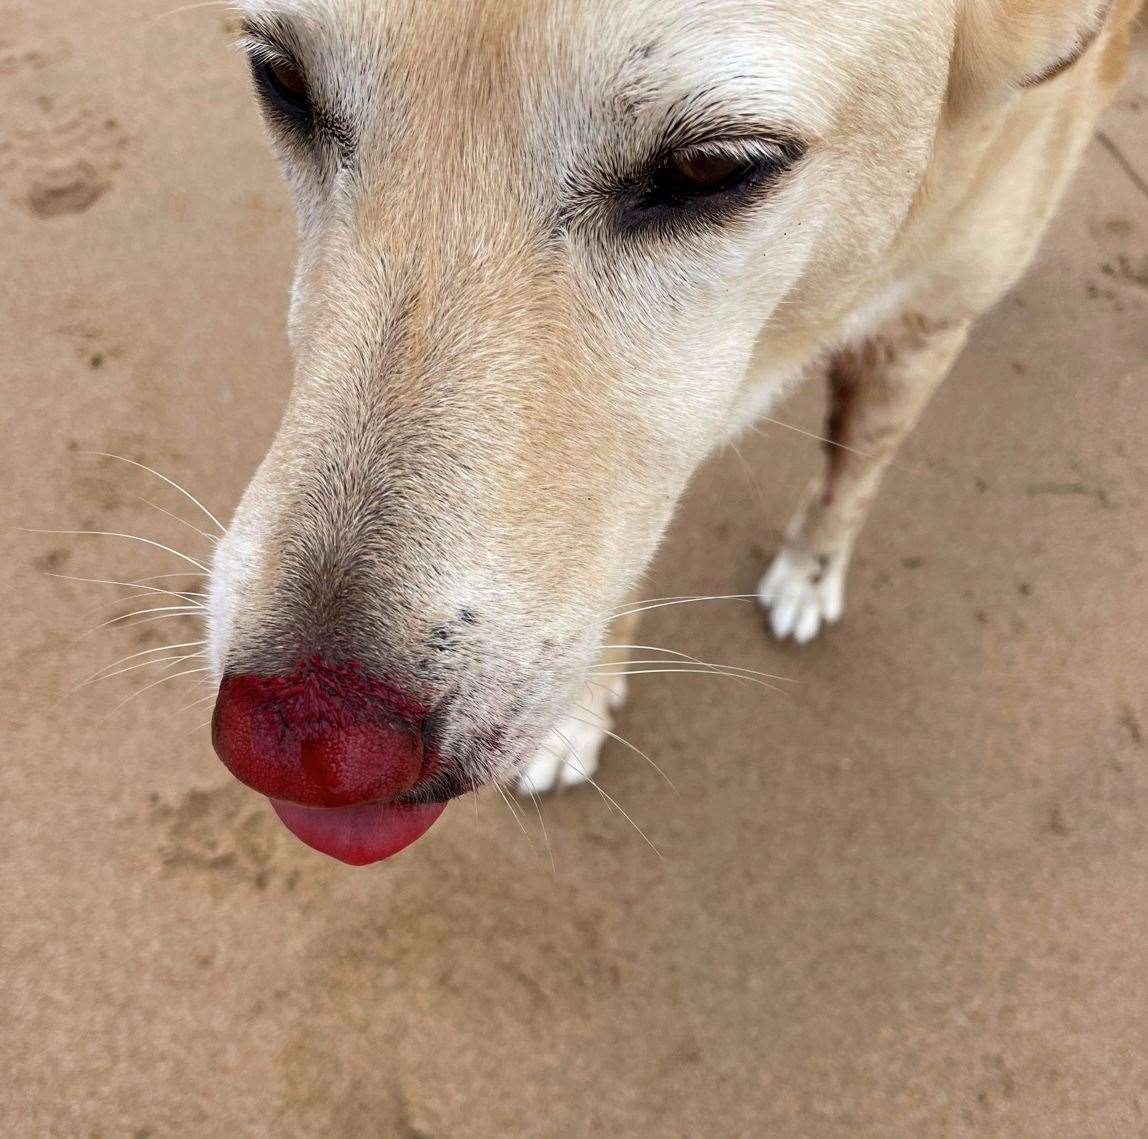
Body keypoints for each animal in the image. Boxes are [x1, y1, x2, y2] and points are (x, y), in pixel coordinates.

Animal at [206, 0, 1138, 863]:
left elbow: (854, 467)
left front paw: (811, 570)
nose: (303, 742)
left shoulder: (923, 324)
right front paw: (579, 712)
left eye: (710, 167)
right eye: (281, 79)